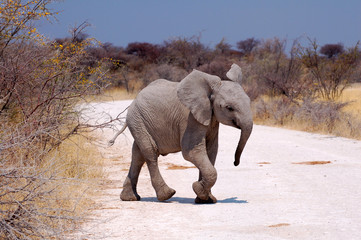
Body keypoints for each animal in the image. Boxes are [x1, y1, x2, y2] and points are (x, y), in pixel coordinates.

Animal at [108, 63, 252, 202]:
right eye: (229, 108)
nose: (235, 163)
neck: (209, 90)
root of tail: (134, 100)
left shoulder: (211, 119)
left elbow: (211, 150)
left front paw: (206, 199)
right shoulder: (189, 119)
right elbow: (191, 152)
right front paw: (198, 189)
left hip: (139, 122)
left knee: (138, 155)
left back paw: (129, 198)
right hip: (137, 119)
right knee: (150, 152)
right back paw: (166, 195)